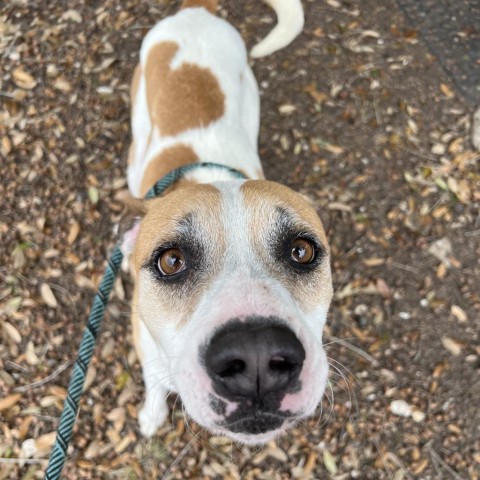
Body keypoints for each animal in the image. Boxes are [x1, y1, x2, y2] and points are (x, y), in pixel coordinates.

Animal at [123, 0, 334, 446]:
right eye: (171, 260)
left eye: (301, 251)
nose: (256, 357)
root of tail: (197, 10)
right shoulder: (148, 351)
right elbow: (154, 385)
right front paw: (151, 416)